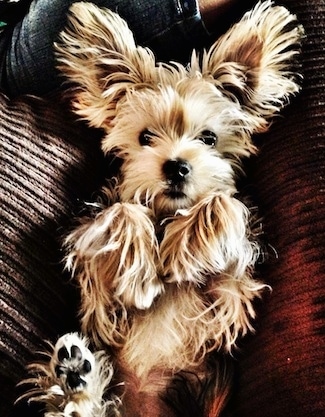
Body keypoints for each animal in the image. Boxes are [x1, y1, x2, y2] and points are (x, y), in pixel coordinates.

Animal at [18, 1, 304, 414]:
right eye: (145, 137)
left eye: (209, 138)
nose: (176, 166)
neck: (168, 214)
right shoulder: (95, 276)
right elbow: (122, 212)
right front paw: (142, 276)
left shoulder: (231, 292)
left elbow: (223, 202)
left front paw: (184, 252)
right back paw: (75, 378)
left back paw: (76, 376)